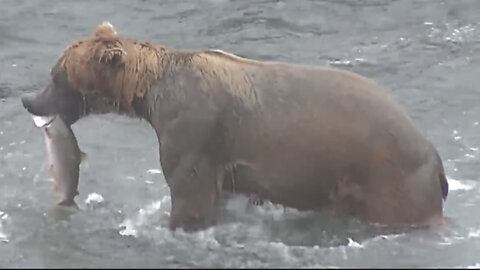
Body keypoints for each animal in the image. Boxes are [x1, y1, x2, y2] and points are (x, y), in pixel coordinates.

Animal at [21, 21, 450, 232]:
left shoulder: (193, 133)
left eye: (57, 76)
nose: (29, 100)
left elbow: (189, 196)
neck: (153, 95)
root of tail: (433, 153)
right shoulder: (223, 158)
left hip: (387, 176)